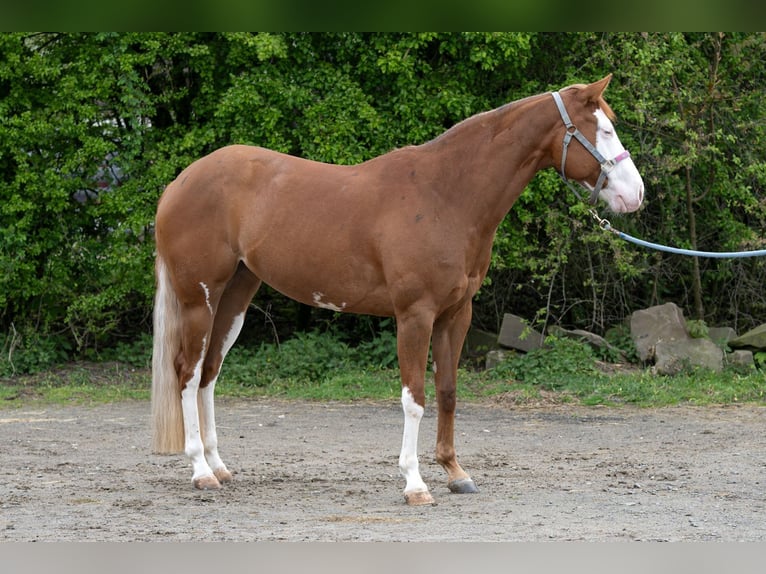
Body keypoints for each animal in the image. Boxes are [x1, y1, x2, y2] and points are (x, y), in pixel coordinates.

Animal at [151, 74, 644, 506]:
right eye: (603, 129)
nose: (636, 194)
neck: (446, 195)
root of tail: (179, 182)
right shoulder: (415, 315)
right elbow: (414, 399)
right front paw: (415, 484)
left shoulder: (456, 314)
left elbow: (447, 390)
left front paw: (455, 473)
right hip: (199, 299)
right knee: (187, 372)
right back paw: (200, 471)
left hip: (235, 297)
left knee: (210, 373)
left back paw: (219, 467)